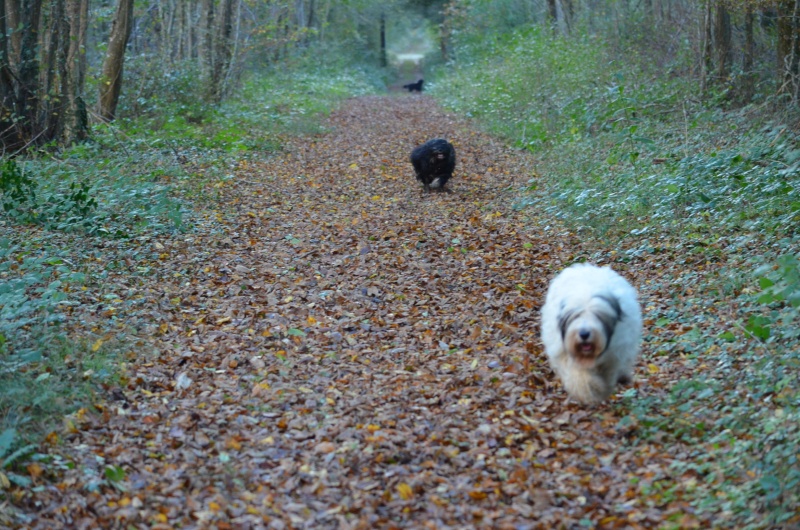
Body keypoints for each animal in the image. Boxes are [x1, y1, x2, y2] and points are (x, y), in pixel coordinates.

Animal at [536, 262, 644, 402]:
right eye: (575, 315)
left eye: (598, 315)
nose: (584, 334)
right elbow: (578, 376)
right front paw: (591, 389)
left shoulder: (616, 352)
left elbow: (610, 371)